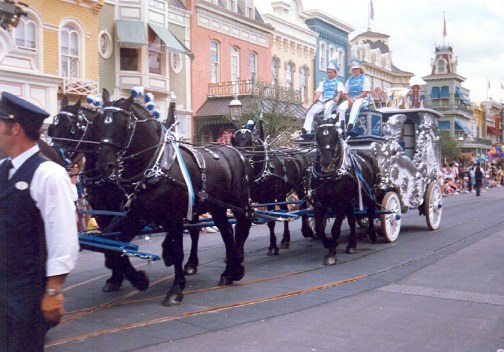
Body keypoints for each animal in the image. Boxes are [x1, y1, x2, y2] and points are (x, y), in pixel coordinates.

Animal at [47, 95, 150, 292]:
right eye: (52, 129)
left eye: (71, 129)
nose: (51, 159)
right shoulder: (100, 211)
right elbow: (109, 243)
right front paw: (116, 277)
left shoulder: (128, 212)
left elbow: (116, 243)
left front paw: (136, 278)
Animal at [93, 91, 254, 306]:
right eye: (98, 123)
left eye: (122, 125)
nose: (104, 166)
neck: (156, 166)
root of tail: (238, 153)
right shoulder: (137, 215)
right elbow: (114, 246)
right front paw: (139, 279)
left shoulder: (175, 216)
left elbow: (176, 250)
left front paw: (176, 288)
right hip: (217, 207)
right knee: (227, 232)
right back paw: (228, 273)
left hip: (237, 203)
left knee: (242, 227)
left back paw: (236, 267)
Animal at [231, 121, 312, 253]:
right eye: (234, 141)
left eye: (253, 142)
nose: (243, 159)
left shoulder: (268, 199)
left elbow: (271, 222)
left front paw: (273, 246)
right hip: (281, 193)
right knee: (285, 211)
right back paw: (285, 239)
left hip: (300, 186)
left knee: (303, 206)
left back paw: (306, 231)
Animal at [308, 119, 378, 266]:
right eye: (317, 135)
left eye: (336, 135)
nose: (326, 162)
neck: (330, 176)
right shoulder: (319, 202)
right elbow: (319, 228)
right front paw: (329, 243)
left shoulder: (341, 202)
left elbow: (335, 228)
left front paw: (331, 255)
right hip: (350, 199)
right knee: (351, 220)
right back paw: (352, 245)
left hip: (368, 191)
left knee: (371, 210)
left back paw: (372, 234)